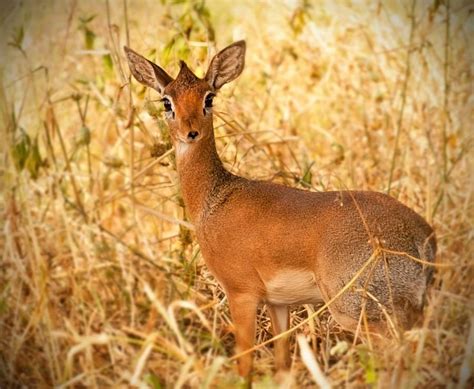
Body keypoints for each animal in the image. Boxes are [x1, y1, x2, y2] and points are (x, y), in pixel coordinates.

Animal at [123, 41, 436, 378]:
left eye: (209, 97)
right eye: (166, 101)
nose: (190, 132)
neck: (215, 199)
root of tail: (421, 236)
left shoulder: (241, 293)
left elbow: (245, 364)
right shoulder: (278, 303)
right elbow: (283, 364)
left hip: (358, 311)